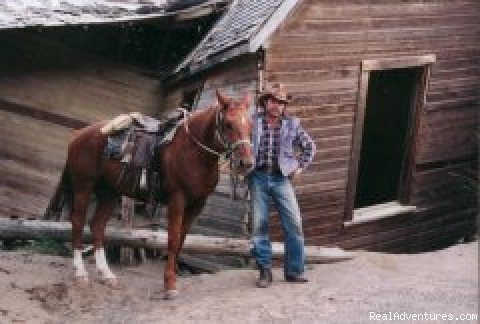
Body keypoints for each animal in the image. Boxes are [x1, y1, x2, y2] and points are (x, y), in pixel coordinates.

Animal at [63, 90, 255, 298]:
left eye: (251, 124)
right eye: (228, 124)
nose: (246, 163)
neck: (193, 150)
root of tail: (79, 134)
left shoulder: (197, 205)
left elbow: (182, 240)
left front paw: (173, 277)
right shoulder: (177, 200)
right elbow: (173, 240)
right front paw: (169, 284)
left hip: (109, 192)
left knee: (97, 226)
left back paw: (106, 274)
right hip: (83, 186)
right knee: (78, 222)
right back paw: (80, 273)